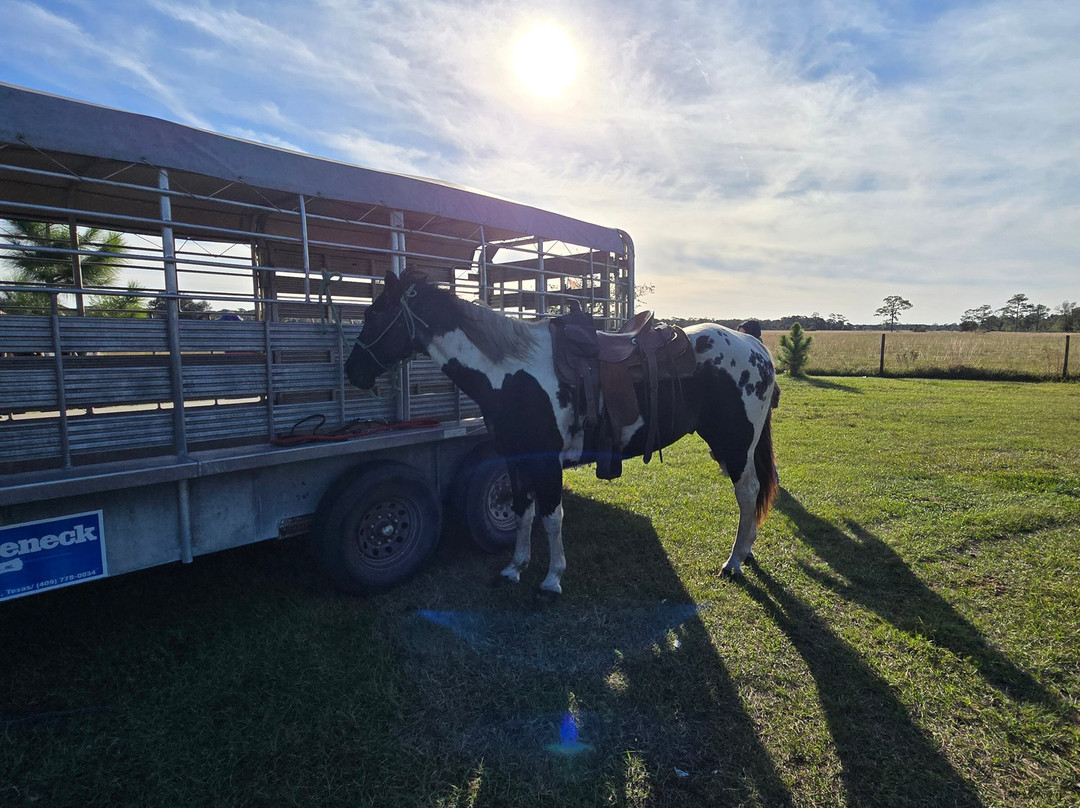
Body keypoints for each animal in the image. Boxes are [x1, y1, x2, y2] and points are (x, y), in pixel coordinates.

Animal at [345, 269, 778, 597]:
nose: (352, 372)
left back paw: (734, 561)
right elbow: (523, 511)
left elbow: (552, 517)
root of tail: (752, 344)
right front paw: (515, 567)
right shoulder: (515, 458)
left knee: (748, 493)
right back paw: (746, 552)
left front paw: (552, 579)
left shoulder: (544, 462)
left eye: (373, 314)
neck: (510, 374)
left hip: (735, 444)